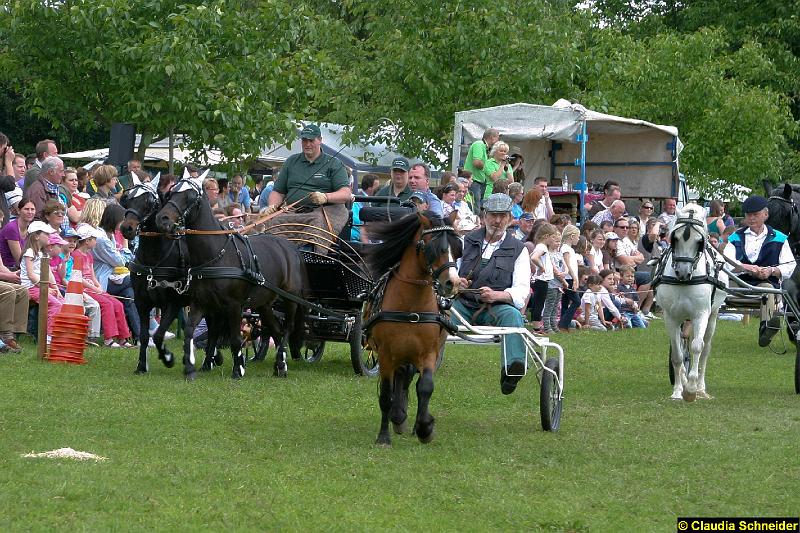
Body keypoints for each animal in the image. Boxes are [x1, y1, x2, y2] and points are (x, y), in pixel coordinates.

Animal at [117, 181, 222, 376]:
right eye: (128, 199)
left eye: (149, 201)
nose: (126, 228)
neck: (154, 259)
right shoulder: (142, 302)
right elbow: (145, 335)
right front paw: (141, 366)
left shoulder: (173, 303)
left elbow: (158, 334)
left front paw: (167, 357)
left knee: (214, 328)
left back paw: (209, 361)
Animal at [154, 176, 306, 378]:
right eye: (170, 193)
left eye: (190, 197)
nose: (162, 219)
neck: (216, 256)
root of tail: (291, 247)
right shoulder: (200, 303)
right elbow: (189, 331)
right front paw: (189, 367)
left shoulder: (233, 306)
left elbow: (235, 338)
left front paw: (238, 369)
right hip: (264, 304)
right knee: (277, 330)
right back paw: (280, 364)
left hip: (291, 299)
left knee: (287, 328)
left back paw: (281, 362)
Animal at [364, 209, 462, 444]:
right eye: (434, 248)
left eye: (457, 248)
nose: (453, 283)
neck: (411, 306)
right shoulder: (386, 355)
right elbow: (386, 395)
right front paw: (384, 436)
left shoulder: (429, 353)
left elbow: (425, 387)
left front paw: (425, 427)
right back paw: (398, 417)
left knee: (408, 378)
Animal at [652, 203, 728, 400]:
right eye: (675, 238)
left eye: (698, 240)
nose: (683, 272)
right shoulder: (670, 317)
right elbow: (677, 354)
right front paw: (679, 390)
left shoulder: (701, 314)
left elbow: (696, 347)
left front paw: (692, 390)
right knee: (683, 343)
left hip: (712, 316)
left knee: (705, 348)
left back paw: (701, 387)